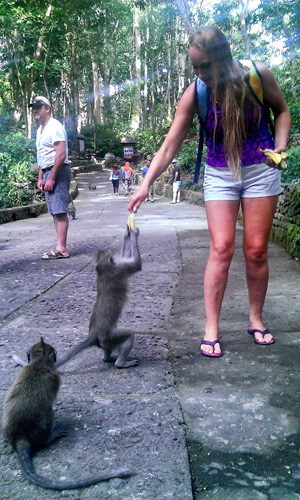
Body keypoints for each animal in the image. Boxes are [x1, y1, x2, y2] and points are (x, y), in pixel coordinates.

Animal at [56, 225, 143, 370]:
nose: (109, 249)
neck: (102, 269)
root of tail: (94, 335)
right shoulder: (120, 269)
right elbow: (136, 264)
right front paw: (134, 234)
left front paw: (127, 234)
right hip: (110, 337)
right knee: (129, 334)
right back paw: (121, 363)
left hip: (106, 342)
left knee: (107, 351)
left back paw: (108, 358)